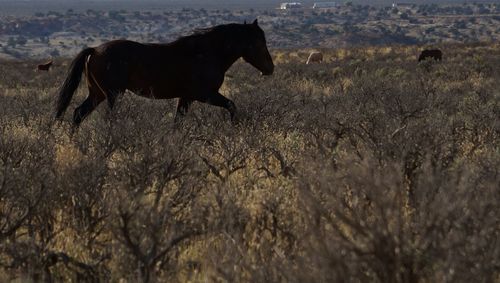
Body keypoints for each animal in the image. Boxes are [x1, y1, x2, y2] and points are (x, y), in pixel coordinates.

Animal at [55, 19, 274, 126]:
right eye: (258, 42)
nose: (270, 68)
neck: (207, 53)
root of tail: (94, 50)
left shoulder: (186, 98)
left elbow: (177, 123)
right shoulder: (205, 95)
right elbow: (231, 106)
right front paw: (236, 129)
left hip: (97, 94)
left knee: (78, 114)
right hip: (112, 94)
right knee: (107, 118)